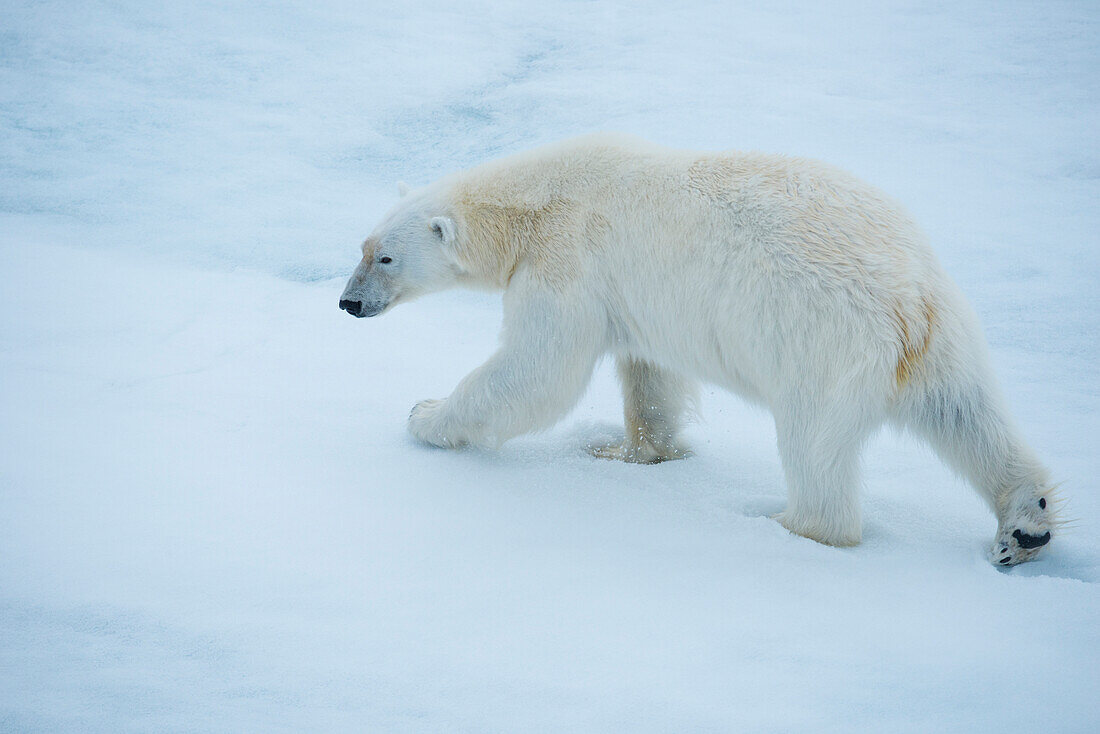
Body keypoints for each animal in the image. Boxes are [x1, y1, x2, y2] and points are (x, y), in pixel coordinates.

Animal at [338, 134, 1060, 567]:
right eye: (362, 246)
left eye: (386, 257)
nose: (347, 303)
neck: (536, 198)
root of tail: (908, 300)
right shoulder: (631, 294)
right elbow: (649, 377)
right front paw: (625, 451)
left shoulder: (568, 259)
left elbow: (537, 370)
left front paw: (425, 415)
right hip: (949, 334)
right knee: (971, 416)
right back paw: (1025, 524)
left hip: (822, 344)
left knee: (815, 445)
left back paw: (785, 522)